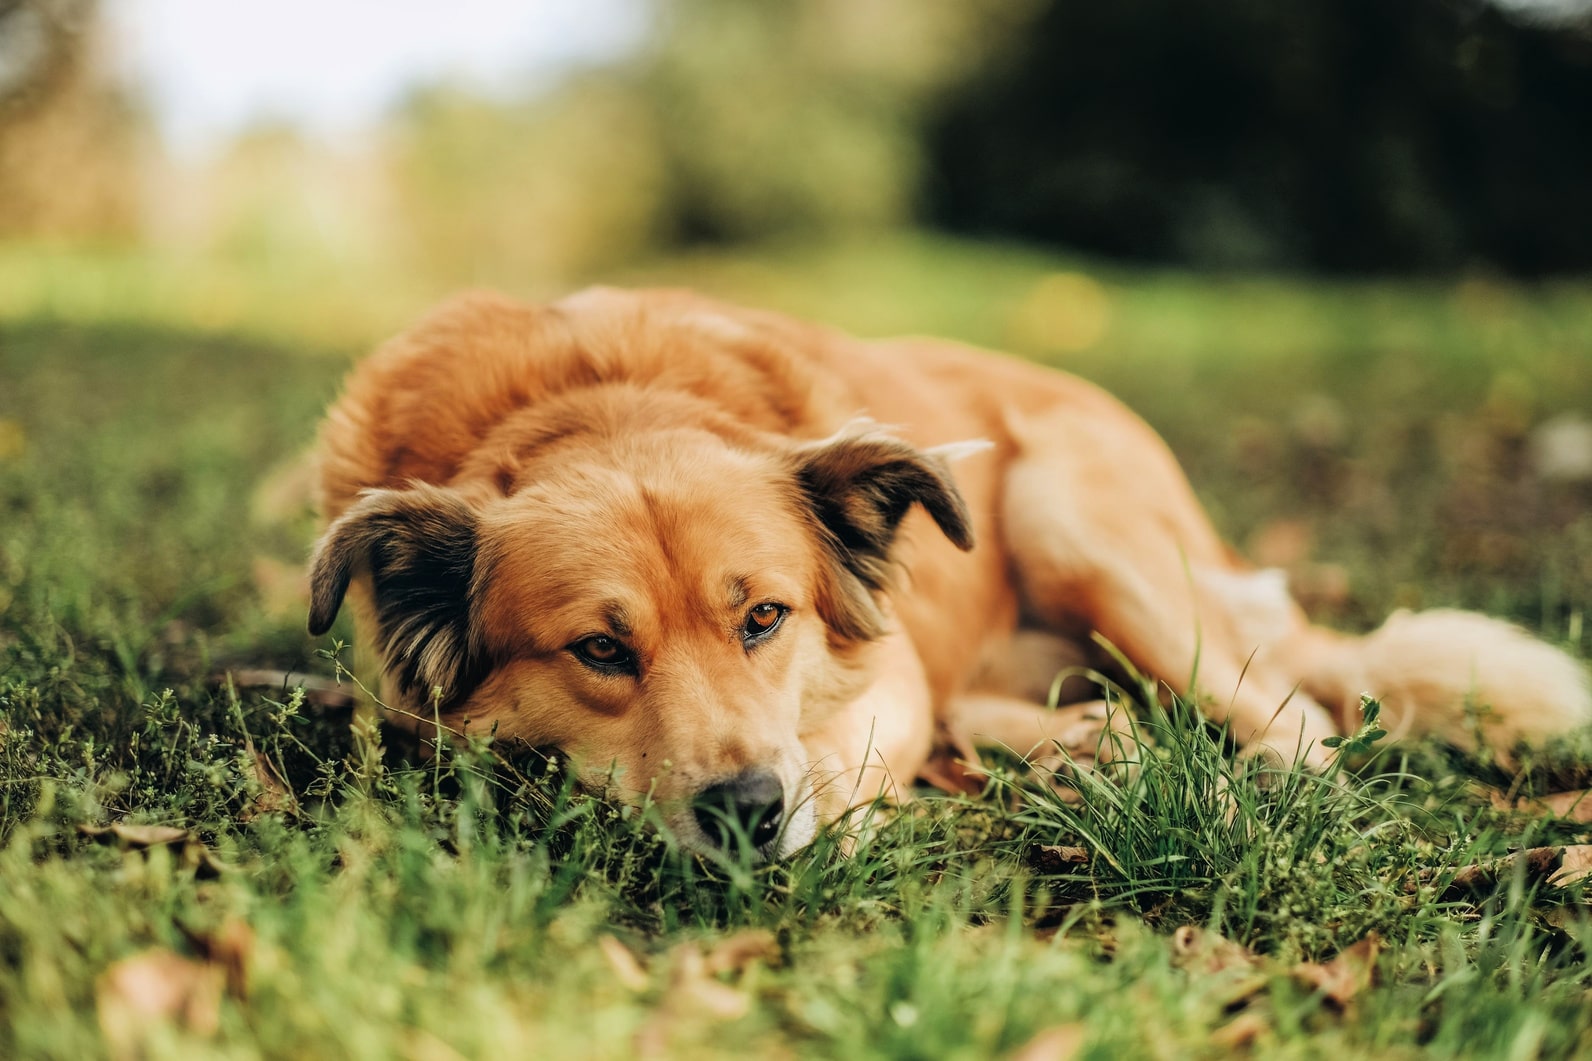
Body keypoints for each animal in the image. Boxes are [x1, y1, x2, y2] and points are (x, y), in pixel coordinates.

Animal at [310, 285, 1592, 853]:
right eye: (599, 648)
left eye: (764, 617)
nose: (747, 815)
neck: (595, 401)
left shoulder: (876, 680)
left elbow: (845, 748)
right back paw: (1086, 746)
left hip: (1072, 523)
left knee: (1297, 717)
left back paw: (1249, 794)